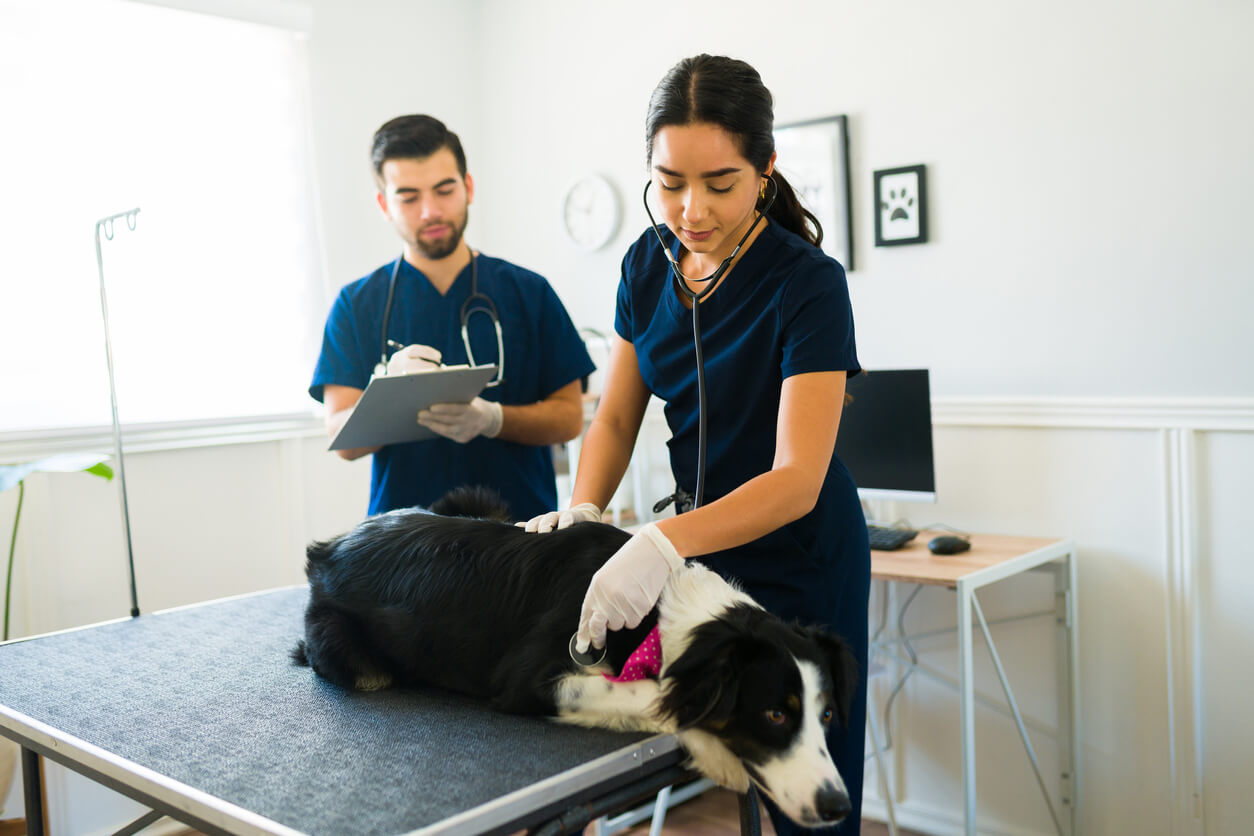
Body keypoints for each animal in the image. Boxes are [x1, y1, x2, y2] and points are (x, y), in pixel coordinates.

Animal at [294, 486, 862, 827]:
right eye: (775, 714)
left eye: (826, 716)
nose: (837, 804)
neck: (661, 615)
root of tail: (327, 549)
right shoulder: (528, 679)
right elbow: (649, 694)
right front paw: (715, 750)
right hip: (351, 655)